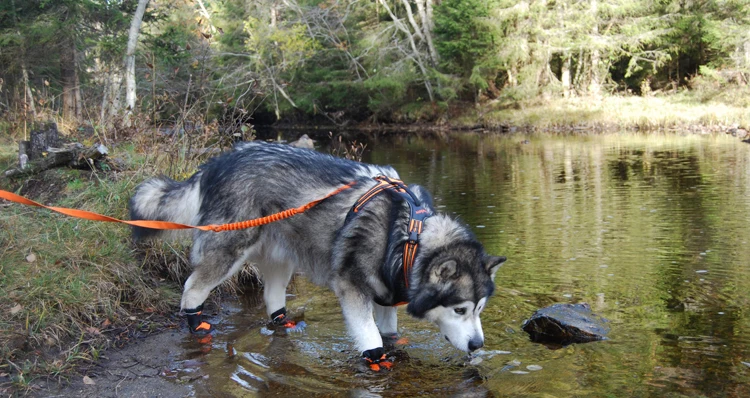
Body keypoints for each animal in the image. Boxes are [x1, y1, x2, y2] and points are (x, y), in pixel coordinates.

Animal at [129, 141, 508, 368]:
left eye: (480, 309)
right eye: (459, 310)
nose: (478, 345)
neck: (407, 235)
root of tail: (216, 162)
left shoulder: (387, 293)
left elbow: (389, 334)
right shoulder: (351, 288)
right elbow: (370, 337)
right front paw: (375, 359)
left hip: (281, 258)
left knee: (272, 295)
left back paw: (283, 322)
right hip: (230, 249)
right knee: (192, 287)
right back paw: (197, 324)